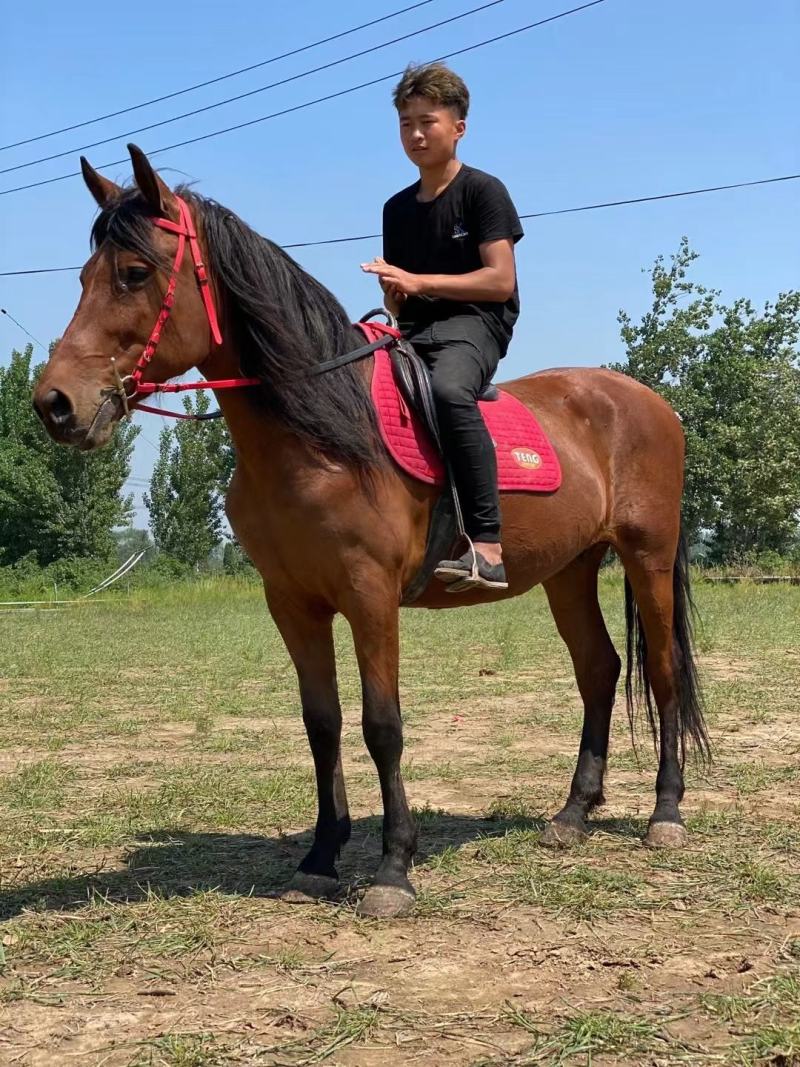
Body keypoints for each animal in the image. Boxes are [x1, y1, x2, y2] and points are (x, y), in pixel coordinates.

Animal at [33, 144, 708, 918]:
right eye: (84, 276)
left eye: (135, 273)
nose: (55, 403)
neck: (322, 436)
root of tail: (651, 403)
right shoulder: (292, 602)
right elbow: (321, 724)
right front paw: (321, 857)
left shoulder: (371, 594)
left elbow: (382, 726)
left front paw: (392, 870)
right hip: (569, 569)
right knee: (599, 670)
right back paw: (570, 815)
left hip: (647, 555)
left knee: (663, 674)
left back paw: (665, 813)